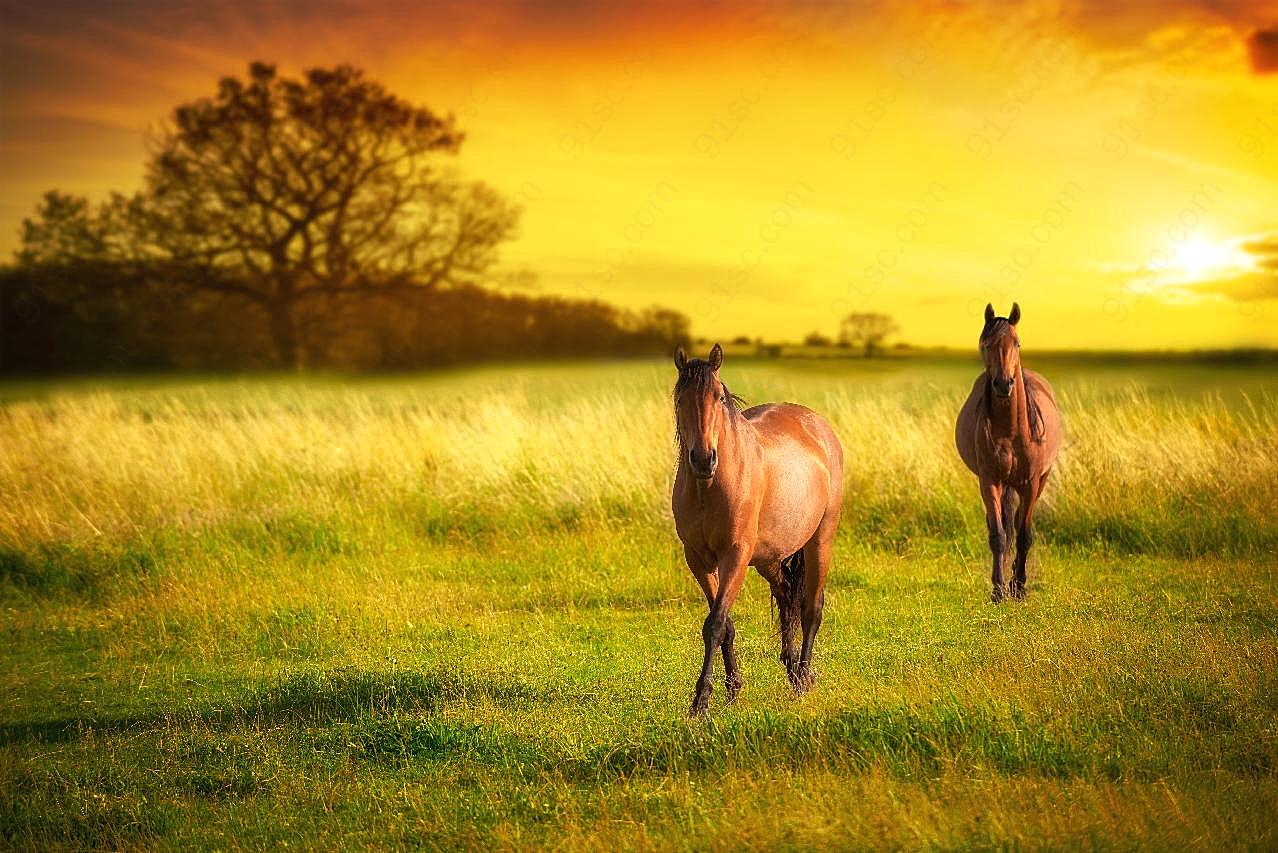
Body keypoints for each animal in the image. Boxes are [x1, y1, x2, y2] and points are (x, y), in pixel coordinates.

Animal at [674, 342, 843, 716]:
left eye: (719, 396)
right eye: (679, 398)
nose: (703, 459)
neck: (709, 487)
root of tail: (818, 425)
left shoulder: (735, 555)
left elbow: (715, 624)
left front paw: (700, 702)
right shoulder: (698, 560)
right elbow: (724, 624)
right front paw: (732, 688)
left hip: (820, 540)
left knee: (811, 608)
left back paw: (804, 678)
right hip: (769, 557)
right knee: (786, 598)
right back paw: (793, 671)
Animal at [955, 303, 1063, 603]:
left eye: (1017, 342)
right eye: (986, 343)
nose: (1004, 384)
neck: (1011, 430)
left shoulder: (1031, 482)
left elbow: (1024, 534)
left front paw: (1020, 586)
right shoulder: (990, 481)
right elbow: (998, 535)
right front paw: (998, 589)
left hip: (1040, 480)